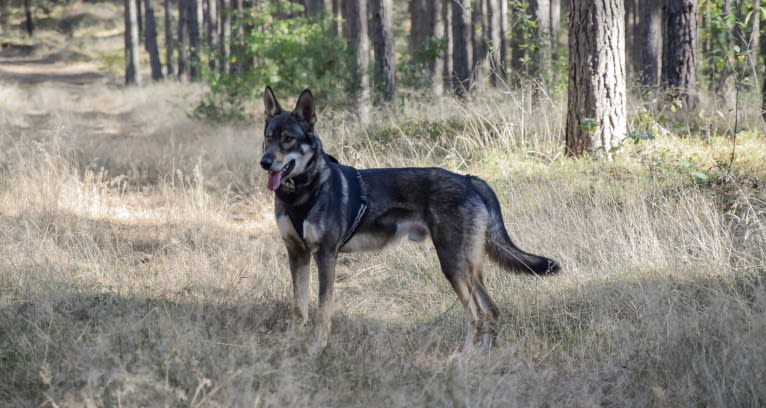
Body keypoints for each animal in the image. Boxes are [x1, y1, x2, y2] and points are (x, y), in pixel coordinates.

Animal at [260, 86, 560, 350]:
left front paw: (316, 348)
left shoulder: (325, 255)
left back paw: (462, 358)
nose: (265, 162)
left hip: (453, 265)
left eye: (288, 138)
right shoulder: (297, 253)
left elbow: (322, 310)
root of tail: (468, 179)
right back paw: (482, 355)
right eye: (268, 136)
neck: (301, 193)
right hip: (470, 269)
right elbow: (299, 308)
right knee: (492, 311)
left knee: (476, 315)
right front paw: (292, 343)